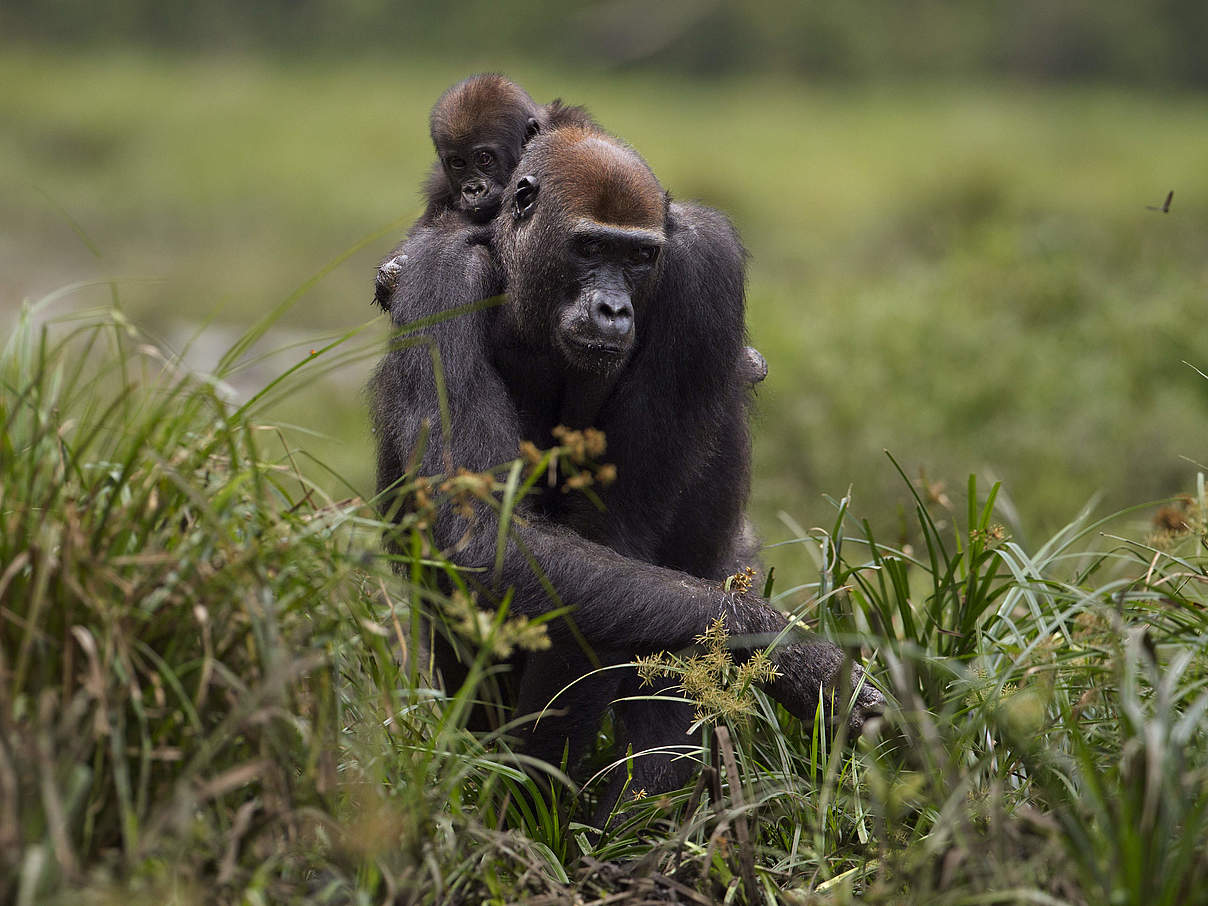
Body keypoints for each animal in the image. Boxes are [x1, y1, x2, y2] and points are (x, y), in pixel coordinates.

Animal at [367, 122, 879, 802]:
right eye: (588, 248)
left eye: (638, 258)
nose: (613, 309)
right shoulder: (438, 276)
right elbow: (489, 534)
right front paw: (787, 648)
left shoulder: (703, 266)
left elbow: (616, 540)